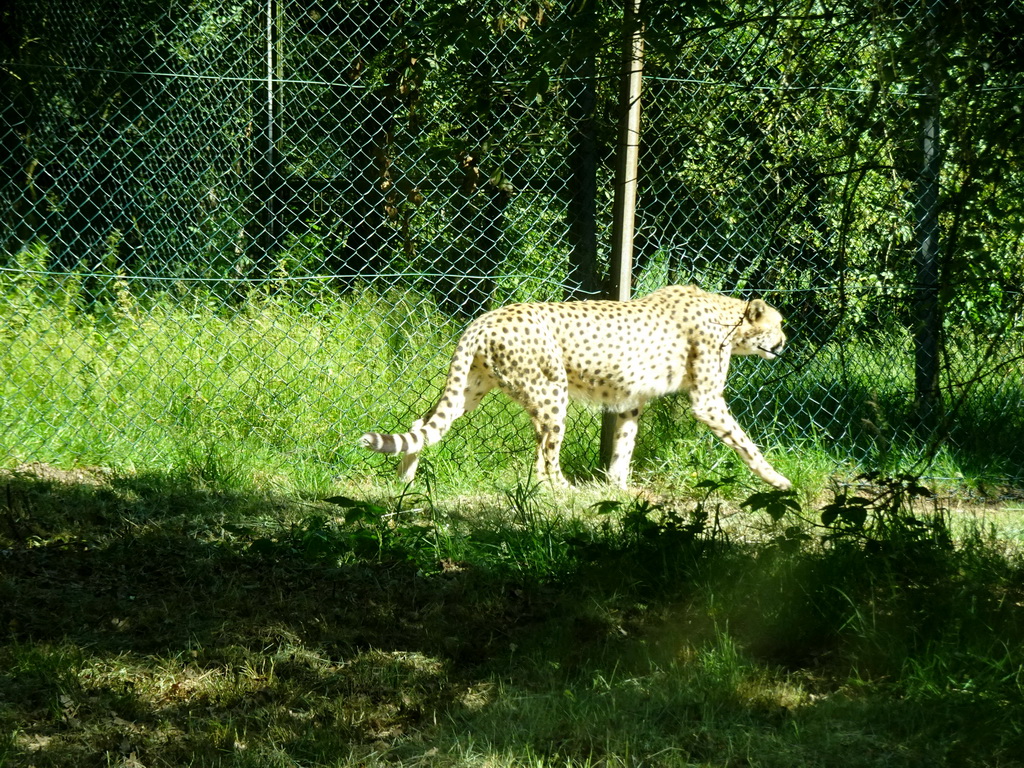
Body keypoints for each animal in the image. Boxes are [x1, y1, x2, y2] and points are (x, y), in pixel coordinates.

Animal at [360, 286, 790, 489]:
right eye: (778, 324)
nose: (785, 343)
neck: (728, 319)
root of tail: (485, 318)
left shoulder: (631, 400)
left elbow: (623, 446)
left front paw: (617, 489)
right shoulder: (707, 401)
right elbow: (747, 445)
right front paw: (778, 480)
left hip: (471, 389)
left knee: (423, 424)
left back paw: (405, 479)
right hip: (551, 392)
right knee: (543, 461)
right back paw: (565, 491)